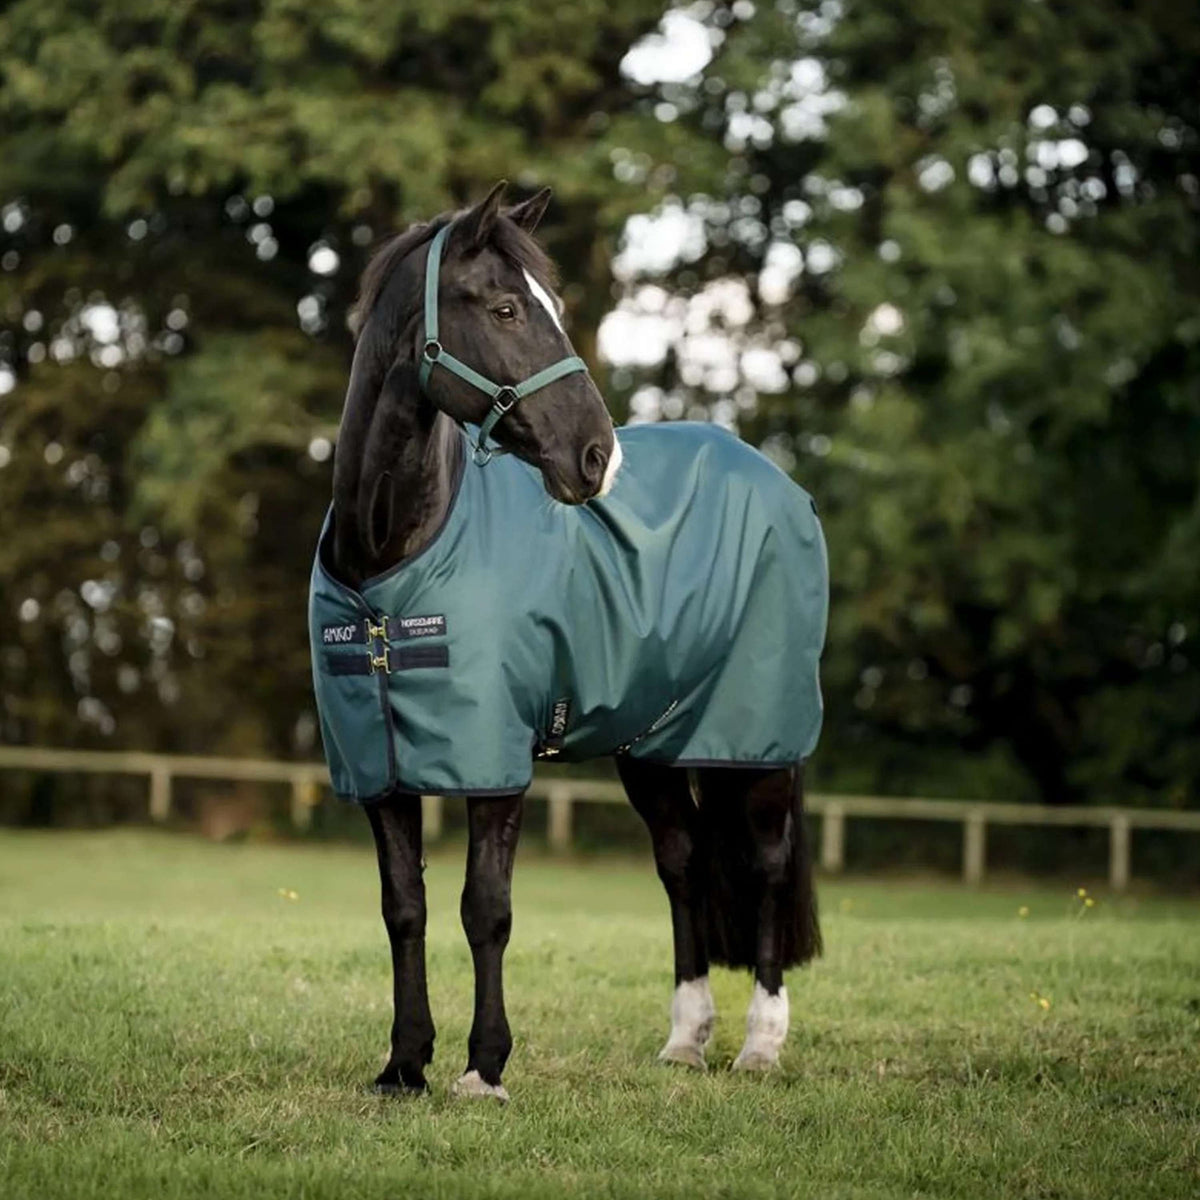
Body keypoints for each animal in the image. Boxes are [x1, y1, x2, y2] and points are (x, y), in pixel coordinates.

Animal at [309, 181, 828, 1101]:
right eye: (507, 308)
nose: (597, 458)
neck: (390, 563)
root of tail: (778, 481)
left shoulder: (495, 763)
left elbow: (486, 909)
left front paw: (484, 1067)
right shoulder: (378, 767)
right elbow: (404, 908)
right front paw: (404, 1064)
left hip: (759, 742)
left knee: (765, 867)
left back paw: (761, 1043)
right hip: (651, 745)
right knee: (682, 861)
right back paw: (686, 1039)